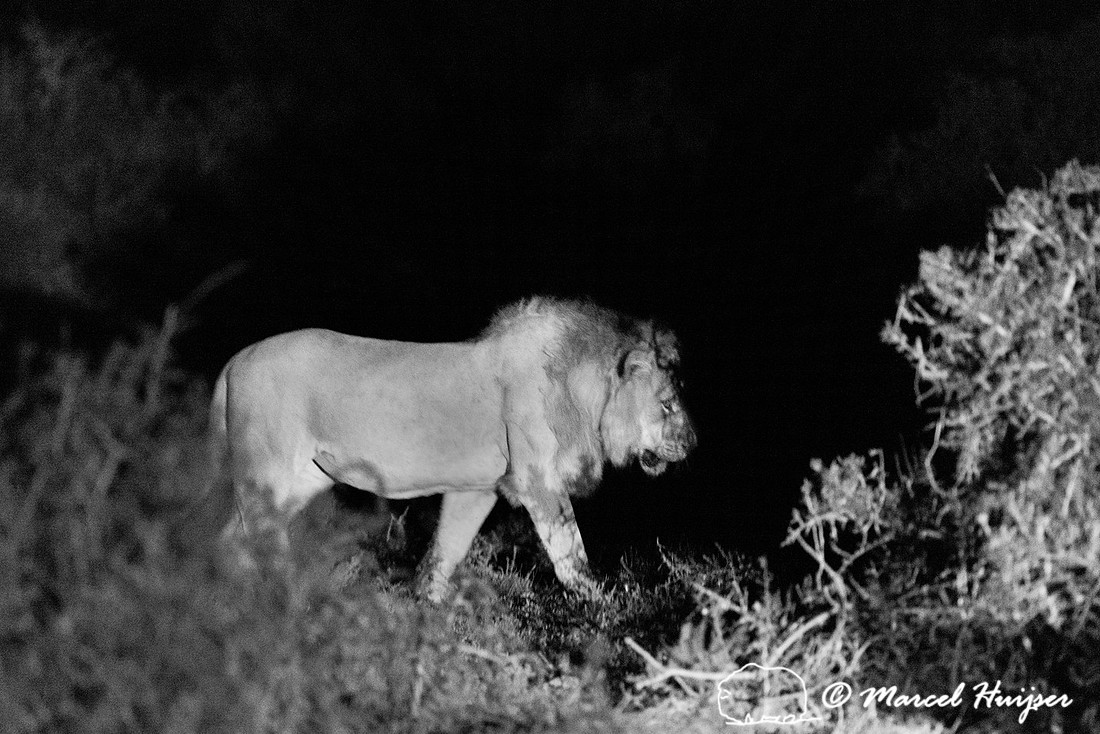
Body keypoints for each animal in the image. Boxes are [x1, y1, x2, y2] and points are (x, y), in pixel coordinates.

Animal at [208, 297, 696, 600]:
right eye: (668, 404)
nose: (693, 443)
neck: (580, 393)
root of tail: (234, 360)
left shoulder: (478, 489)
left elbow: (446, 552)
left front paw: (429, 614)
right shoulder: (538, 482)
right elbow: (571, 556)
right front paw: (605, 608)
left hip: (300, 480)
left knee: (231, 541)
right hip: (269, 475)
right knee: (263, 544)